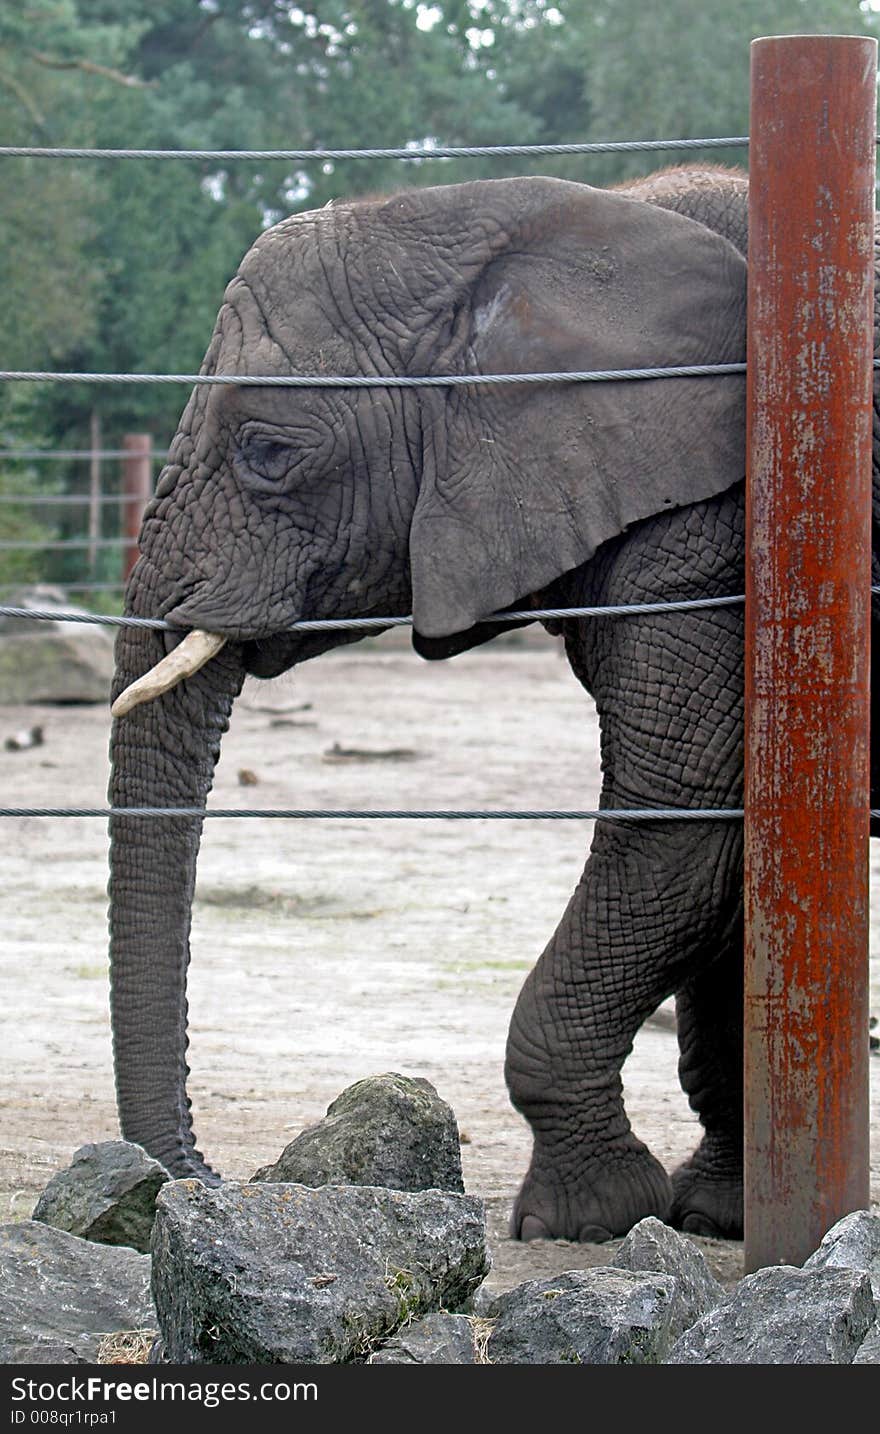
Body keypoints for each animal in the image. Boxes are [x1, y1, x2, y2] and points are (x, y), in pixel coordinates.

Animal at [105, 162, 808, 1244]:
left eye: (269, 452)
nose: (199, 1178)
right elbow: (718, 853)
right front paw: (712, 1217)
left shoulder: (713, 529)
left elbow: (683, 803)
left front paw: (587, 1220)